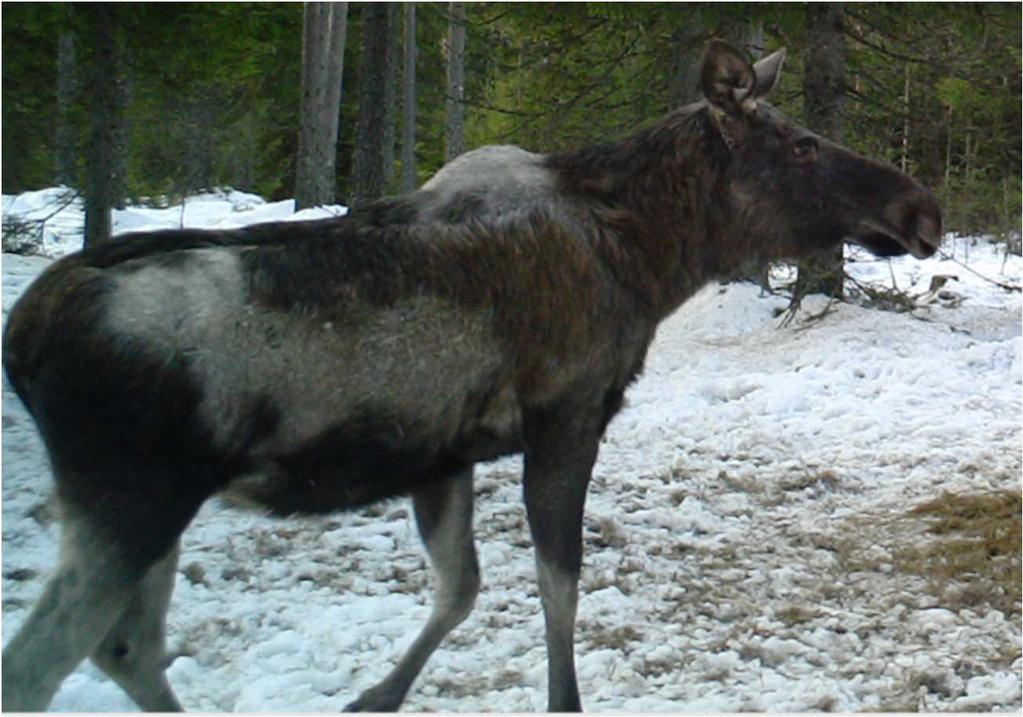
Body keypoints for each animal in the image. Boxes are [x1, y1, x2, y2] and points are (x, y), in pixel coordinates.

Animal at [1, 40, 941, 711]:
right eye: (800, 145)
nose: (921, 208)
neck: (649, 260)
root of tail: (26, 333)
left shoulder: (440, 452)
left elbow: (460, 588)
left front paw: (374, 695)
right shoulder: (566, 417)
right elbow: (558, 588)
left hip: (153, 509)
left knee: (125, 647)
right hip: (131, 499)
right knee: (43, 662)